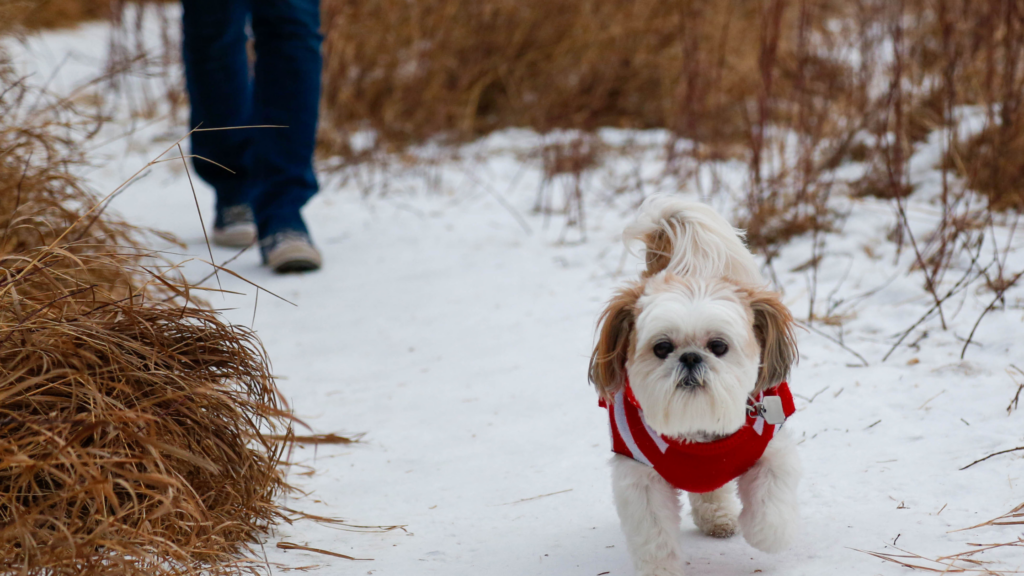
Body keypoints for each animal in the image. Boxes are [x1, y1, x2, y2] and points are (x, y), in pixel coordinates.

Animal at [593, 194, 798, 569]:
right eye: (662, 348)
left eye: (718, 346)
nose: (689, 357)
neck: (698, 432)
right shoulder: (639, 477)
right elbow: (654, 536)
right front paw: (660, 568)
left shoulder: (770, 447)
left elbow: (771, 507)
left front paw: (765, 534)